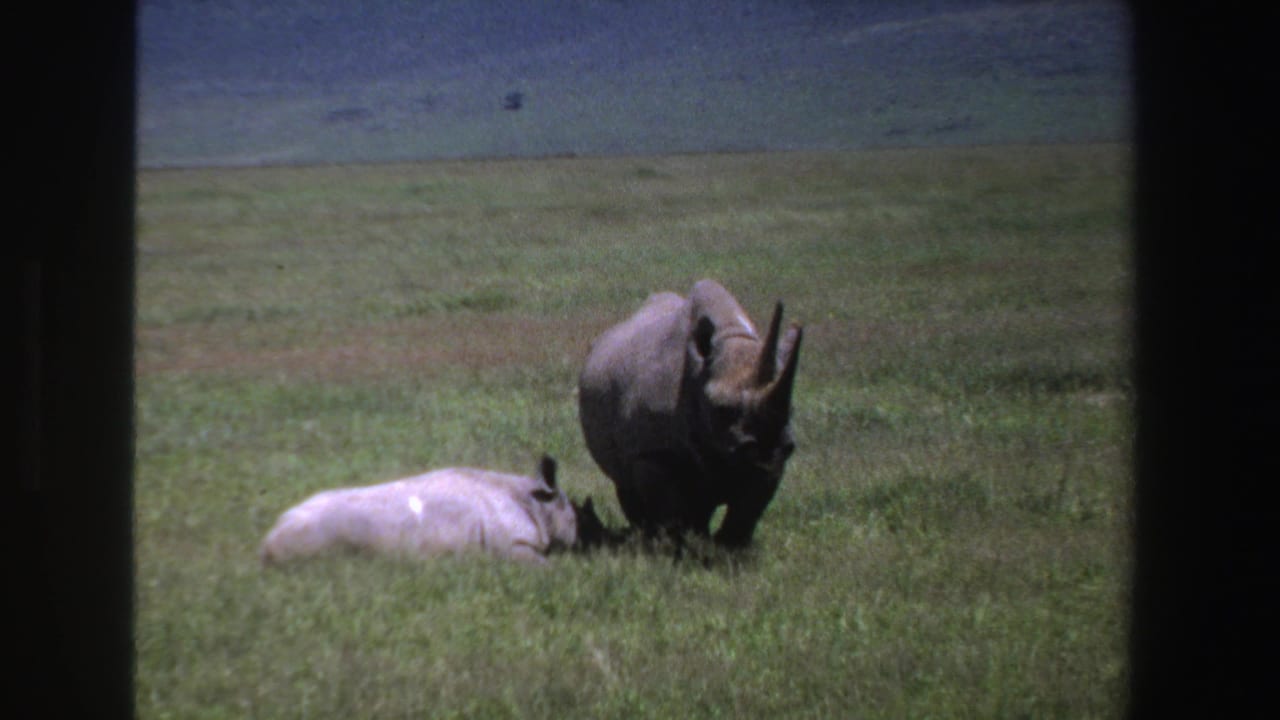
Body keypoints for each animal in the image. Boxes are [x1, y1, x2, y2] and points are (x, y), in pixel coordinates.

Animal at [259, 455, 580, 565]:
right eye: (573, 518)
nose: (579, 540)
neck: (537, 502)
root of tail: (268, 539)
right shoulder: (512, 544)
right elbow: (543, 565)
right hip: (316, 535)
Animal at [578, 279, 802, 548]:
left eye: (791, 409)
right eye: (721, 409)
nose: (765, 446)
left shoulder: (772, 459)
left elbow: (747, 509)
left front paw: (730, 549)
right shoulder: (651, 452)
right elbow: (671, 509)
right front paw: (678, 548)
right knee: (626, 483)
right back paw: (647, 536)